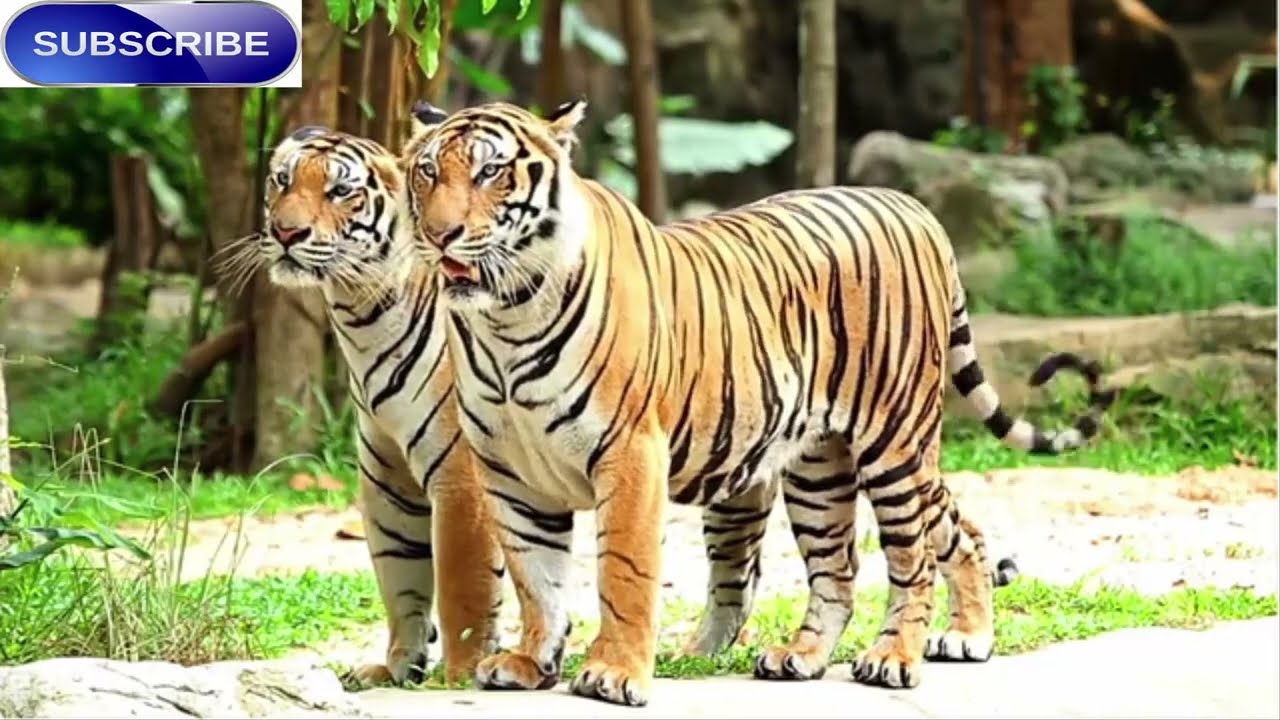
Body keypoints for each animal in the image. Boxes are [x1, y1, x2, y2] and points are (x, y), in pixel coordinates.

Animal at [217, 125, 508, 686]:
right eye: (282, 181)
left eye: (339, 192)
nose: (286, 232)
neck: (363, 316)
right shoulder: (387, 479)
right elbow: (400, 577)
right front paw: (396, 667)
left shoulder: (462, 477)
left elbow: (463, 585)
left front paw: (461, 675)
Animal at [399, 99, 1115, 707]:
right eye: (428, 172)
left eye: (491, 172)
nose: (440, 234)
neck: (506, 319)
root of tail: (914, 209)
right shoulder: (511, 471)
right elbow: (535, 577)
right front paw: (530, 662)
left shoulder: (629, 454)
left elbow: (622, 571)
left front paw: (613, 674)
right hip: (822, 466)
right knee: (866, 559)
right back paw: (848, 651)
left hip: (895, 442)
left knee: (911, 558)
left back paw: (896, 656)